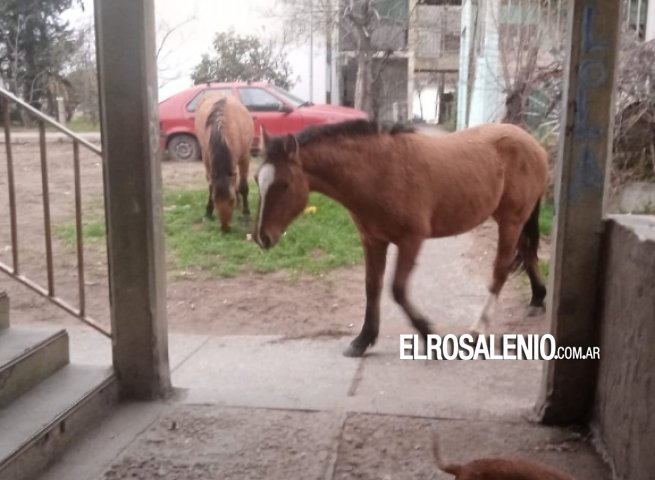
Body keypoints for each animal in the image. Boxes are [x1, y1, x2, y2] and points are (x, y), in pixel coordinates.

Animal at [194, 93, 254, 231]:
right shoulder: (207, 159)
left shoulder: (245, 157)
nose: (225, 228)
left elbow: (243, 186)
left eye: (231, 200)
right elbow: (211, 185)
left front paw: (246, 215)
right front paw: (208, 212)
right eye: (215, 199)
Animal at [253, 120, 548, 357]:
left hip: (511, 221)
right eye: (257, 180)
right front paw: (363, 340)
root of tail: (534, 144)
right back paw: (538, 298)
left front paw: (429, 336)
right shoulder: (372, 241)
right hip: (516, 220)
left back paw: (478, 329)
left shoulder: (411, 240)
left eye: (284, 185)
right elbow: (372, 287)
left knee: (500, 270)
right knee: (528, 253)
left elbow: (397, 289)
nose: (262, 237)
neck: (380, 171)